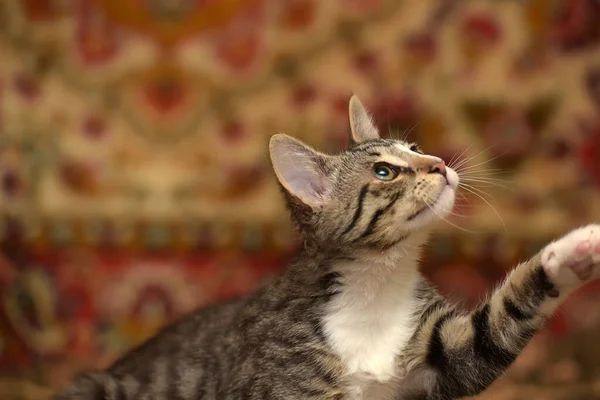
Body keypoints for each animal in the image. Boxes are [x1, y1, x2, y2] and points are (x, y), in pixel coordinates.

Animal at [52, 97, 600, 400]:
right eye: (385, 171)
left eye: (415, 149)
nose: (441, 164)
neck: (377, 283)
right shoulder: (286, 383)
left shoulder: (442, 356)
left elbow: (497, 326)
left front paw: (572, 252)